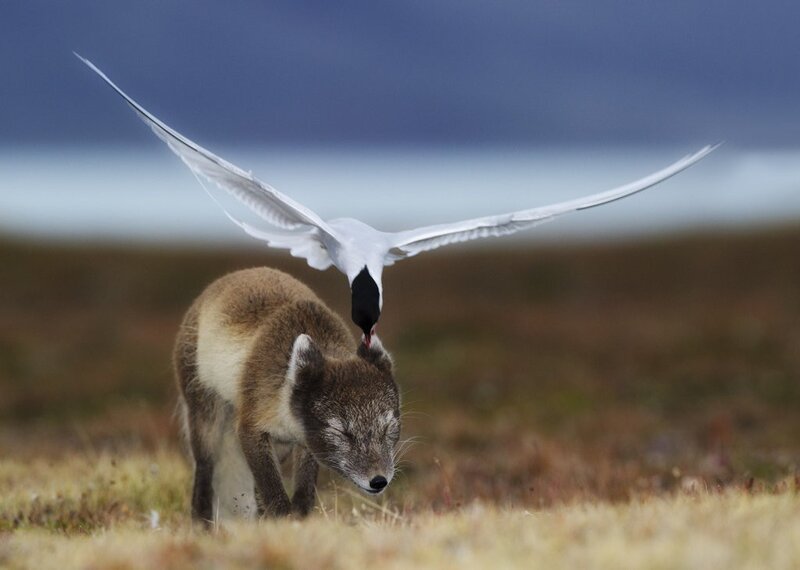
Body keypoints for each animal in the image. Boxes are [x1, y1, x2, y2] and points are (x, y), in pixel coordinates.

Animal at [173, 267, 400, 523]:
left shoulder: (305, 443)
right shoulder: (250, 428)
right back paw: (202, 522)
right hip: (206, 418)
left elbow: (303, 492)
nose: (379, 481)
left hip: (280, 449)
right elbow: (275, 493)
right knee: (205, 468)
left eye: (388, 426)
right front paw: (284, 523)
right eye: (342, 431)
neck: (285, 409)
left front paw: (298, 522)